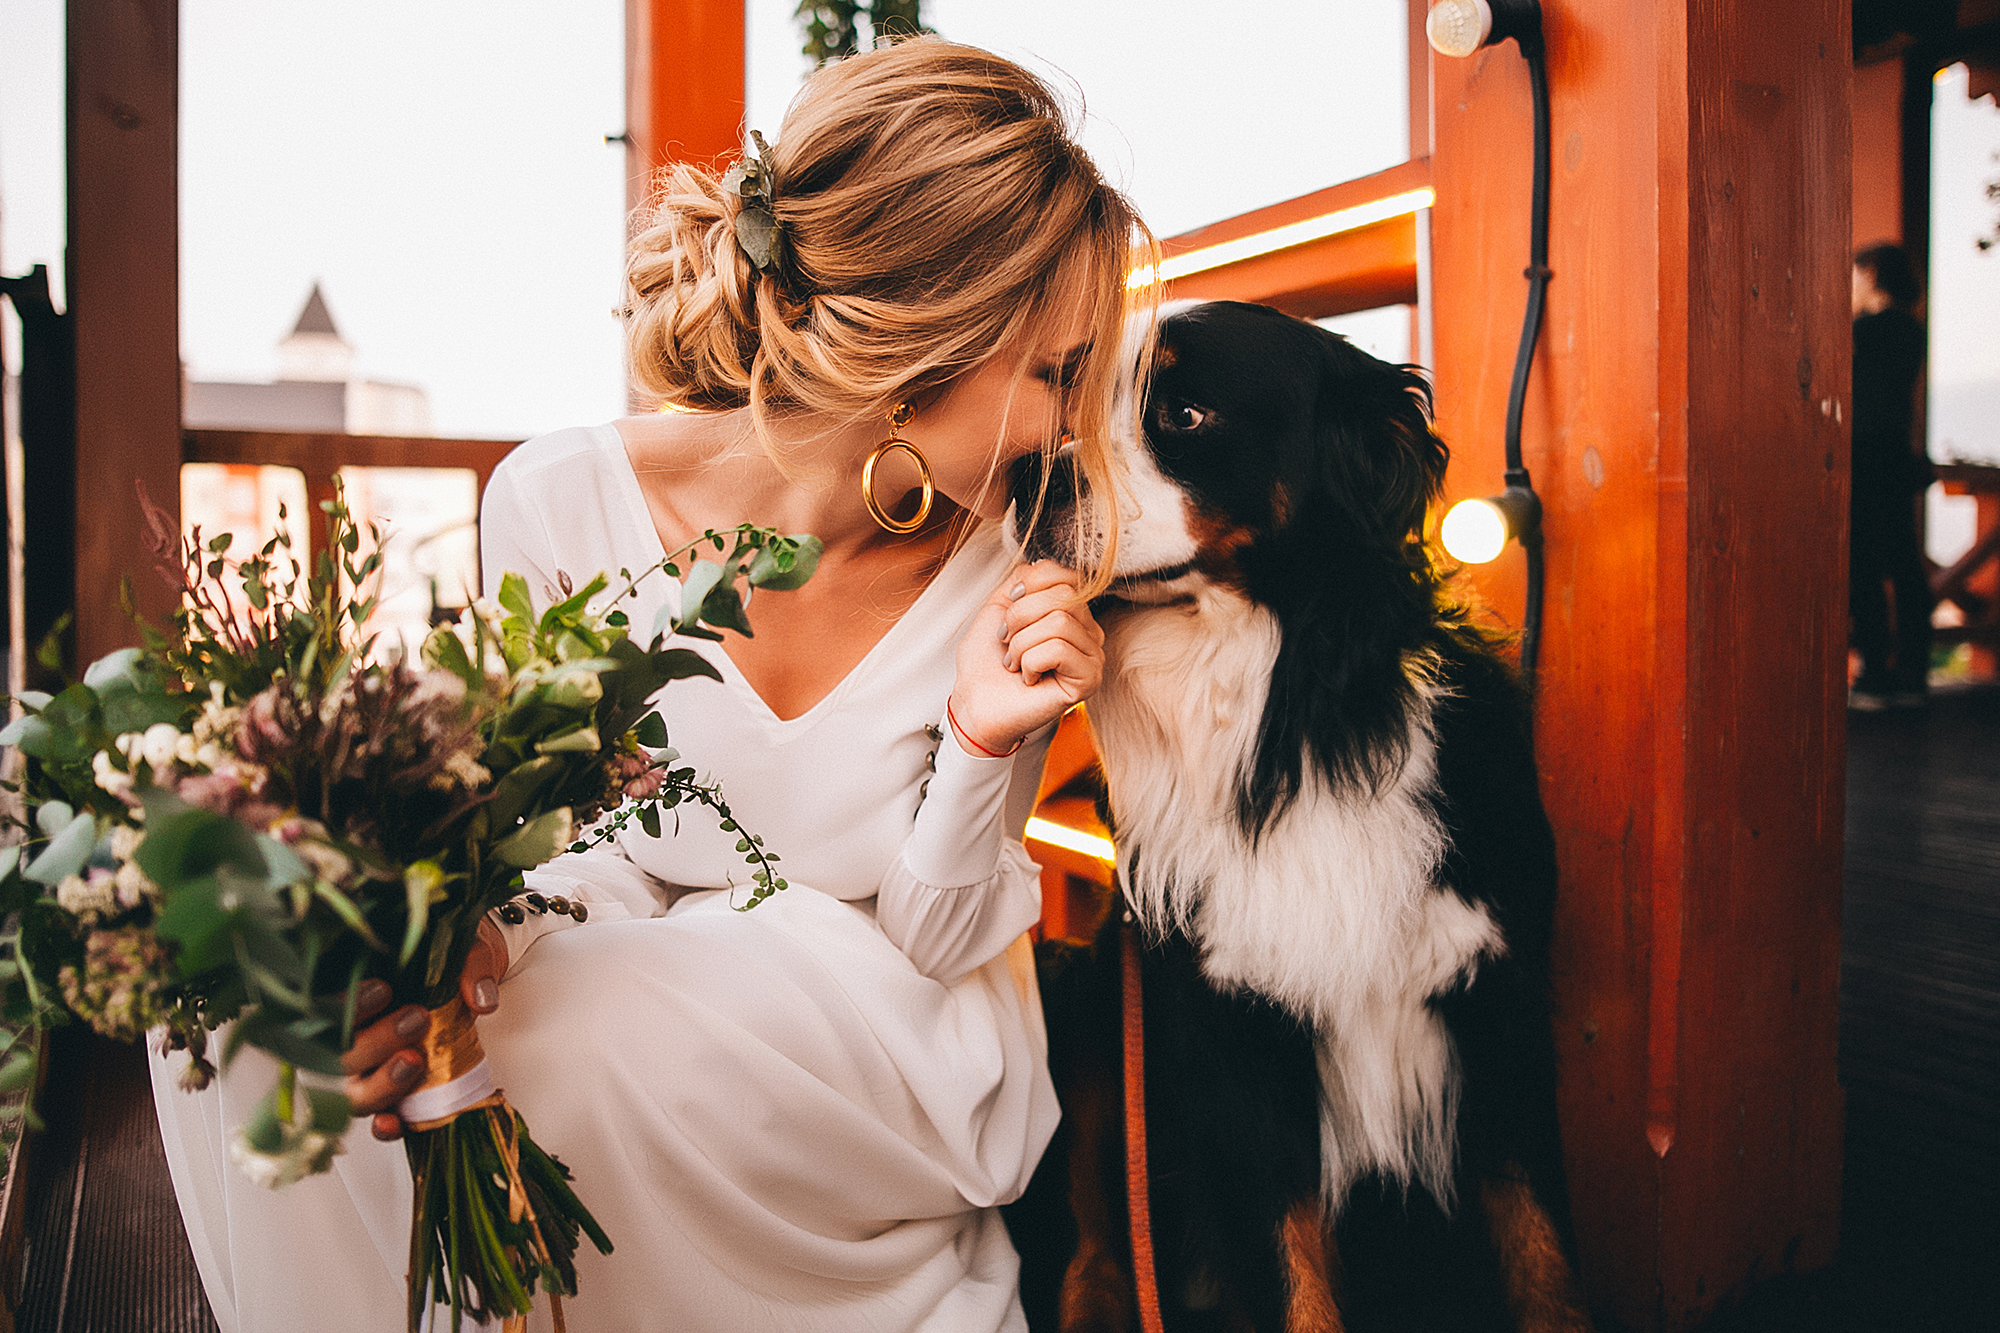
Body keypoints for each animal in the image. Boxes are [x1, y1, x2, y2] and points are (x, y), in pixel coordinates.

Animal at [1000, 296, 1592, 1320]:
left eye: (1182, 413)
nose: (1021, 475)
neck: (1296, 728)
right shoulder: (1235, 1037)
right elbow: (1293, 1278)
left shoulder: (1500, 1000)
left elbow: (1542, 1253)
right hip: (1085, 992)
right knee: (1095, 1240)